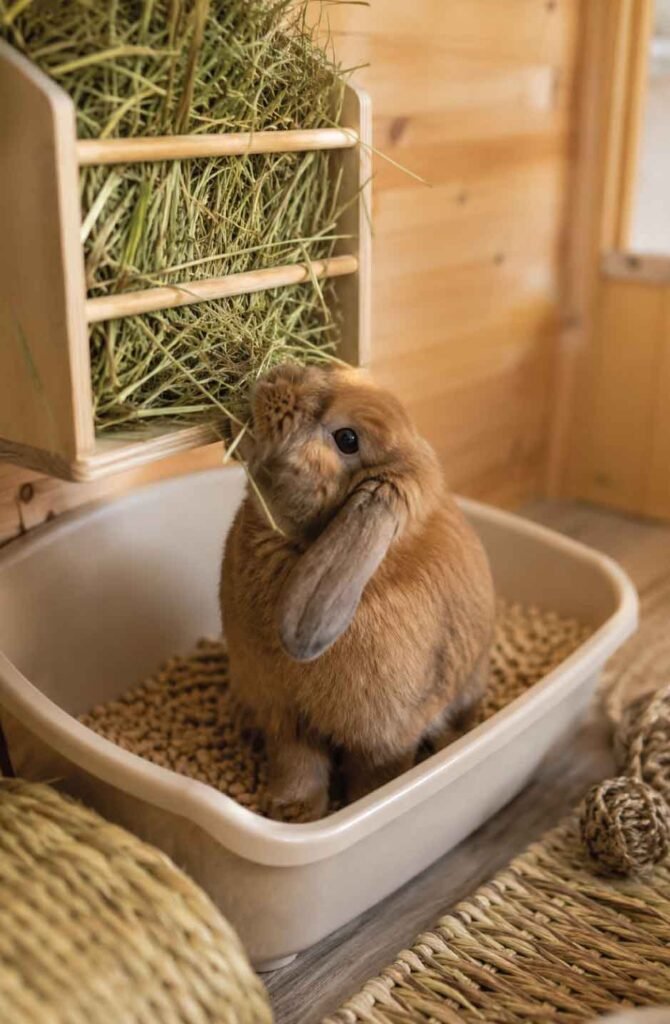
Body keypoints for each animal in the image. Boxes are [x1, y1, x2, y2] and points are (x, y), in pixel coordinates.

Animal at [220, 364, 495, 821]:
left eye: (347, 439)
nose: (276, 377)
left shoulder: (383, 739)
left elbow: (376, 778)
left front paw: (364, 806)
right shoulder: (284, 717)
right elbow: (298, 766)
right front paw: (291, 812)